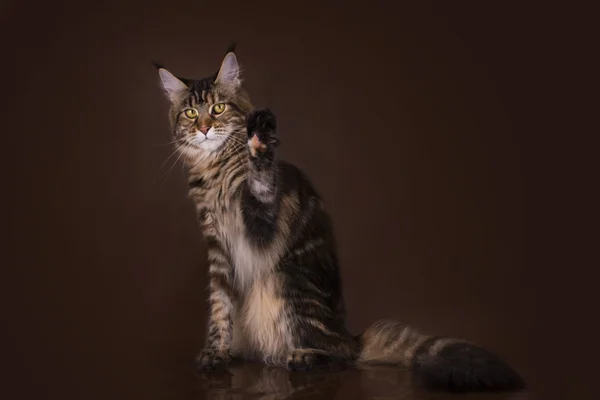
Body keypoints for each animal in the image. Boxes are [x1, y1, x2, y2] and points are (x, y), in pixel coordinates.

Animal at [155, 48, 524, 392]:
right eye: (191, 113)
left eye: (218, 109)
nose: (204, 129)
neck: (215, 170)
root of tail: (350, 334)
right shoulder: (217, 246)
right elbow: (219, 308)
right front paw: (215, 353)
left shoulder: (260, 221)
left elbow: (259, 180)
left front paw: (258, 142)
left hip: (287, 277)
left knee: (342, 356)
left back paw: (303, 356)